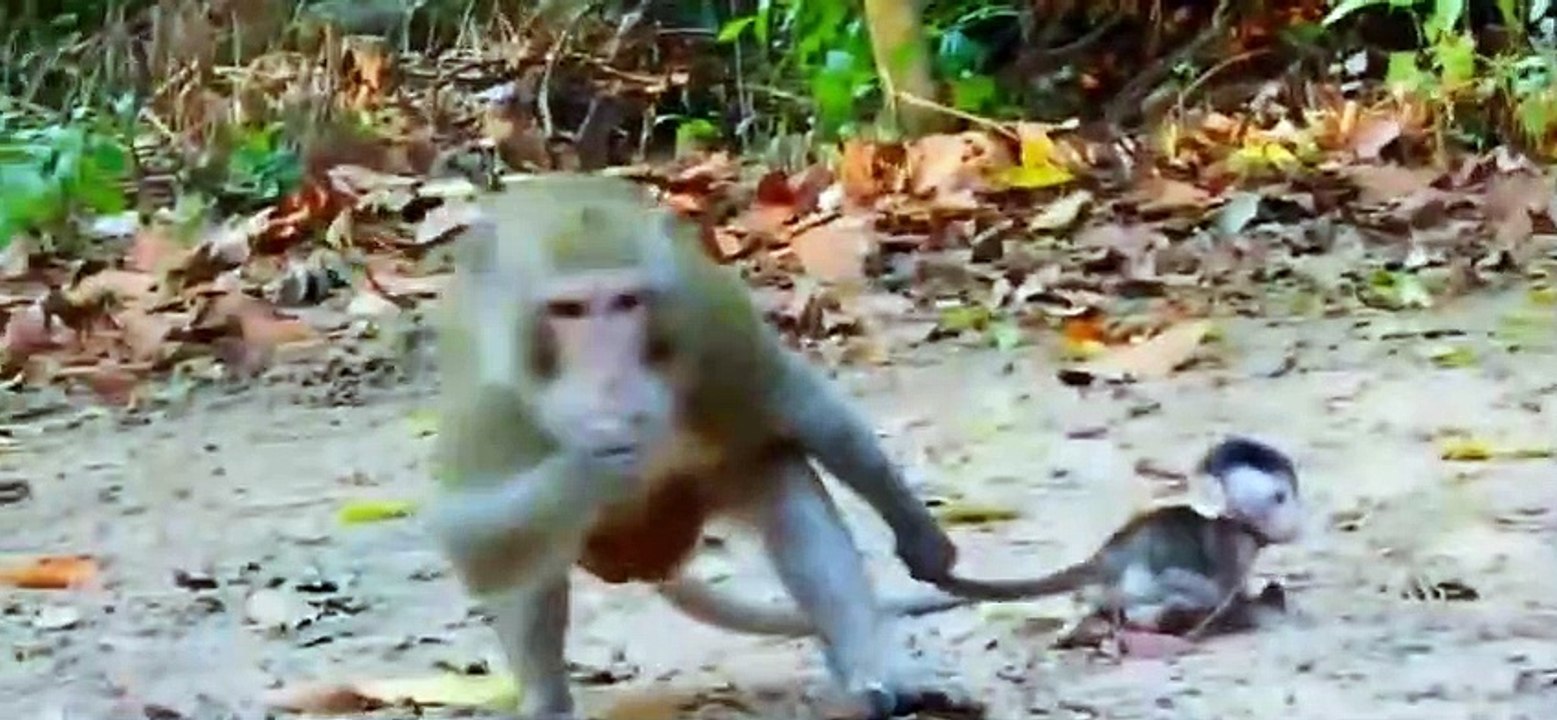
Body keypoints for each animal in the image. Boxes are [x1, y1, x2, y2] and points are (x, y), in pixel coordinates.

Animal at [423, 175, 970, 720]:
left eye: (626, 302)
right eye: (567, 310)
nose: (611, 381)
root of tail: (646, 562)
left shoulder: (709, 326)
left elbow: (800, 404)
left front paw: (920, 537)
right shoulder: (489, 396)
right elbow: (469, 537)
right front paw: (594, 460)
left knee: (783, 483)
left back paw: (870, 669)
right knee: (527, 564)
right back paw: (547, 704)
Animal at [654, 436, 1304, 640]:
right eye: (1278, 499)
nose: (1299, 520)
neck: (1234, 528)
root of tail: (1106, 555)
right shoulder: (1227, 549)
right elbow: (1210, 586)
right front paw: (1236, 609)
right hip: (1138, 575)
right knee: (1155, 591)